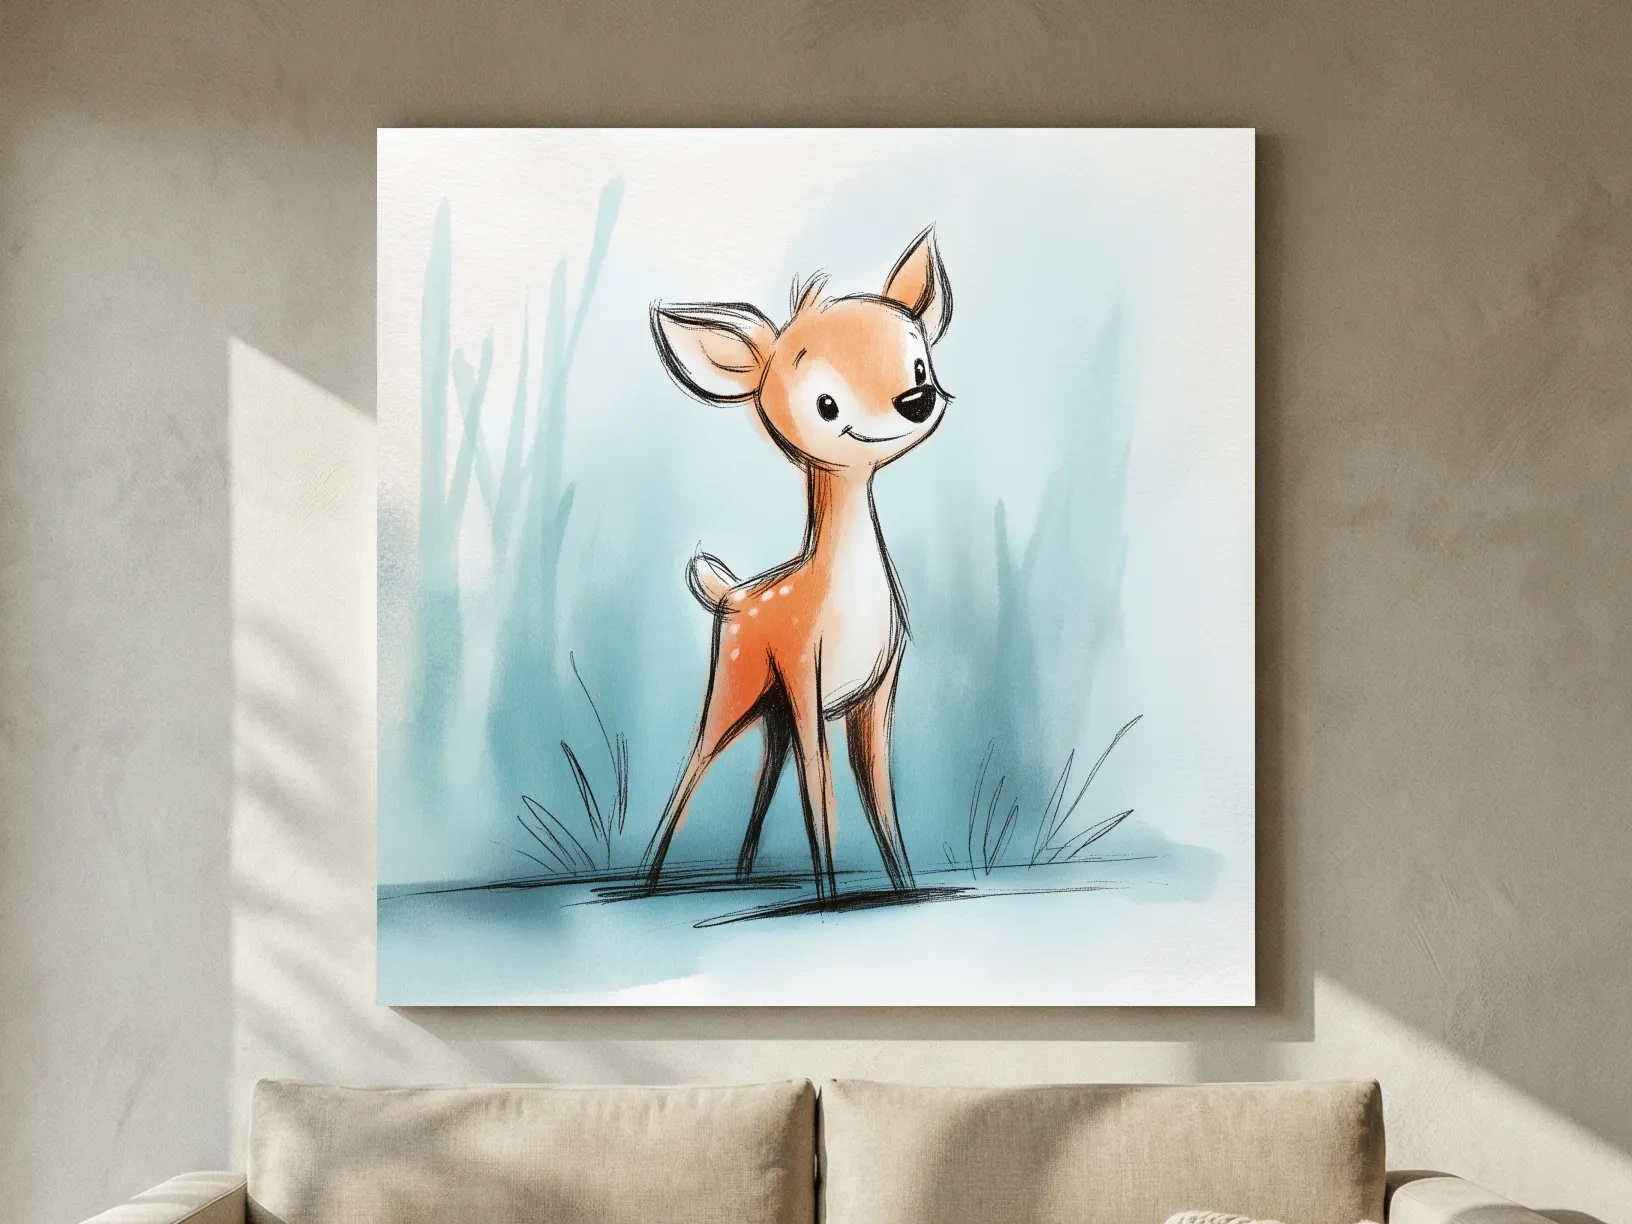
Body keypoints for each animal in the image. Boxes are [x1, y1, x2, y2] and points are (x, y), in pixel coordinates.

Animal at [644, 227, 954, 901]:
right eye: (826, 404)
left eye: (920, 363)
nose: (916, 398)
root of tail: (728, 594)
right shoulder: (806, 672)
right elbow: (823, 801)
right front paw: (832, 901)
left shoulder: (877, 690)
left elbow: (881, 806)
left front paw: (901, 891)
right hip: (736, 687)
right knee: (691, 772)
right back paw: (645, 881)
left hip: (772, 710)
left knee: (761, 787)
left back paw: (739, 877)